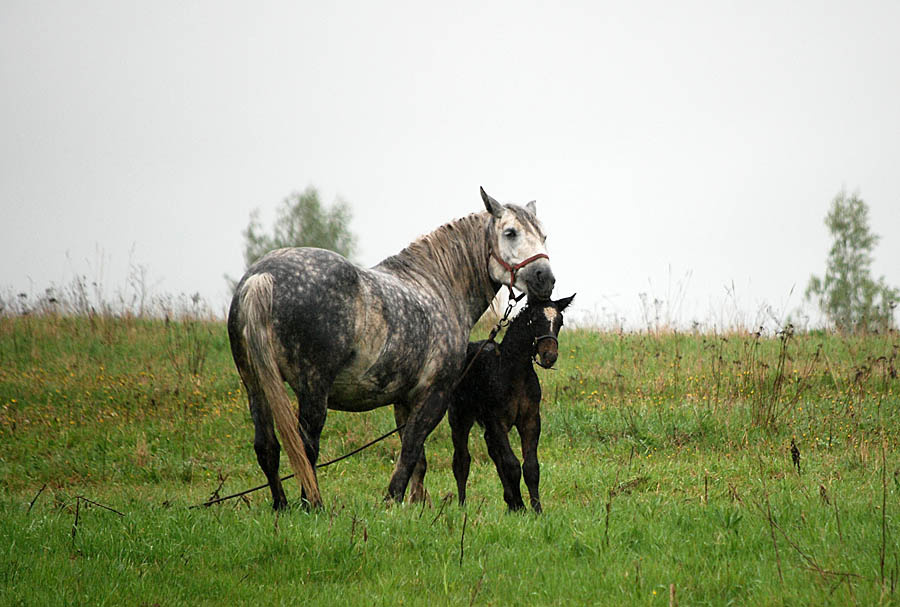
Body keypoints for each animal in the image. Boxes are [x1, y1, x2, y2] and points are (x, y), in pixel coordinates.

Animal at [227, 187, 556, 509]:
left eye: (543, 235)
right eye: (510, 232)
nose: (546, 279)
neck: (437, 287)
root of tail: (262, 277)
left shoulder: (404, 399)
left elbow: (417, 457)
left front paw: (416, 504)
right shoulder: (434, 396)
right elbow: (410, 448)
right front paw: (392, 500)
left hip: (255, 385)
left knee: (267, 447)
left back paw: (281, 506)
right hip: (312, 388)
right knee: (305, 447)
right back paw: (312, 505)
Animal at [448, 294, 574, 513]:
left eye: (560, 322)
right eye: (534, 320)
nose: (549, 356)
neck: (512, 372)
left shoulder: (530, 420)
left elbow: (531, 466)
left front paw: (536, 509)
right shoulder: (498, 421)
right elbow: (512, 464)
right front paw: (521, 507)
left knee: (492, 449)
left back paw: (509, 500)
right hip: (459, 417)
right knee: (462, 460)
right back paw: (463, 505)